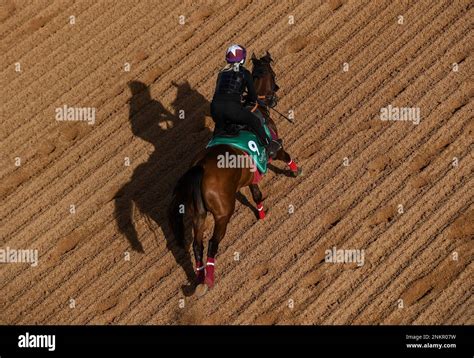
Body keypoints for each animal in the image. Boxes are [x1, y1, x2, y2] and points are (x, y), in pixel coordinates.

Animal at [168, 51, 302, 296]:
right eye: (273, 73)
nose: (274, 95)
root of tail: (200, 168)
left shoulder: (252, 171)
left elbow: (256, 193)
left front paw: (261, 213)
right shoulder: (273, 147)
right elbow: (284, 154)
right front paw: (296, 171)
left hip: (198, 215)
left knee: (197, 245)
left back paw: (199, 279)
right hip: (223, 214)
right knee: (213, 244)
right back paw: (209, 280)